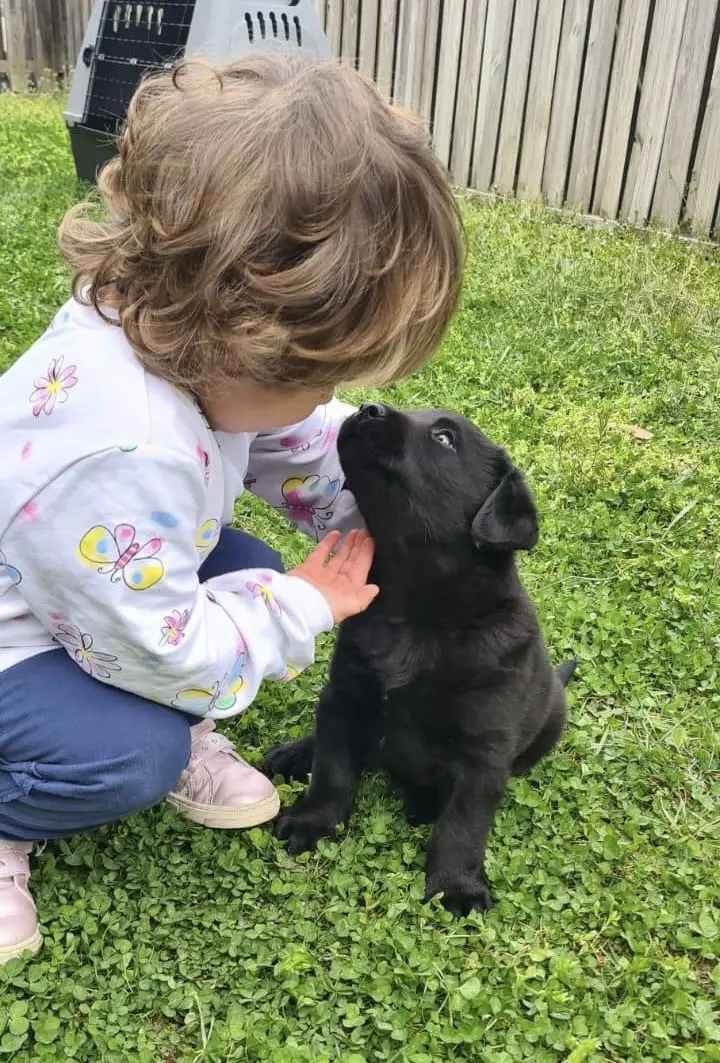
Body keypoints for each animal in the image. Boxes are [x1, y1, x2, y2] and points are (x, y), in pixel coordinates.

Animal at [263, 403, 574, 914]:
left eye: (445, 439)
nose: (367, 409)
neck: (415, 615)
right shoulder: (343, 697)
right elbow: (332, 770)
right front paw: (313, 820)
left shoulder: (485, 750)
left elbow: (463, 825)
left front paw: (456, 885)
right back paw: (293, 753)